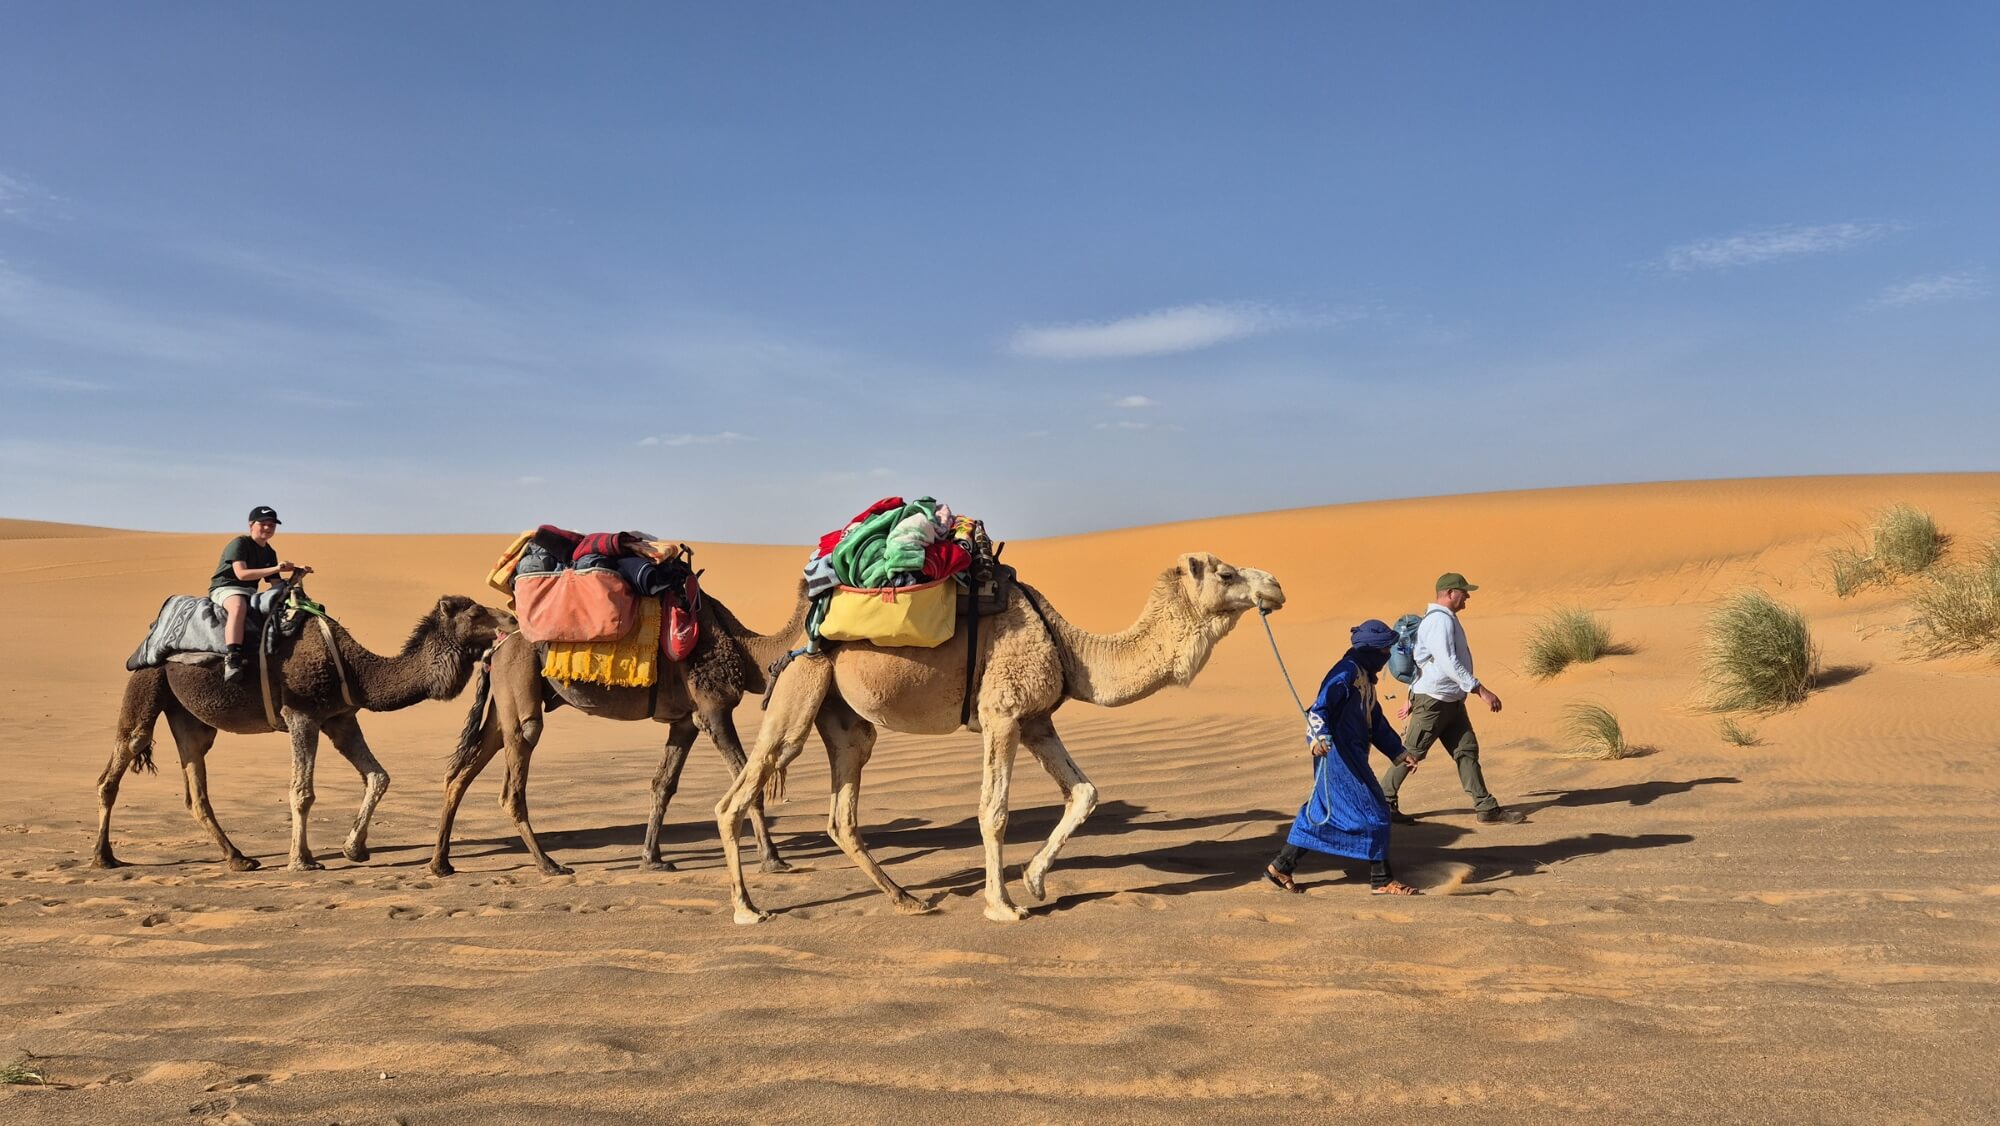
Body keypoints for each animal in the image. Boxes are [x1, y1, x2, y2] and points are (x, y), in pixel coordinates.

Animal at [95, 594, 515, 872]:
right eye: (476, 611)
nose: (512, 618)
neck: (355, 670)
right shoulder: (301, 715)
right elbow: (302, 792)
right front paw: (302, 860)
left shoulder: (340, 719)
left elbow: (378, 776)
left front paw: (354, 849)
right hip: (147, 679)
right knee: (122, 757)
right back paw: (104, 856)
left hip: (189, 717)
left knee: (196, 783)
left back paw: (239, 858)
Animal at [428, 585, 810, 878]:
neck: (747, 649)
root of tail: (498, 646)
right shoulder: (714, 709)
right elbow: (748, 780)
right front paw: (774, 860)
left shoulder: (685, 721)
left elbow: (663, 786)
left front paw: (652, 860)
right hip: (518, 681)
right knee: (516, 770)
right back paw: (549, 865)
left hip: (502, 701)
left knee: (462, 772)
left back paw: (440, 864)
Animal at [714, 552, 1285, 924]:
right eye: (1226, 573)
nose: (1276, 586)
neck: (1070, 648)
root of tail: (793, 631)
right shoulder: (1002, 714)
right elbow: (994, 810)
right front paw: (1003, 905)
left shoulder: (1037, 721)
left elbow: (1086, 792)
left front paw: (1035, 881)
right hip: (800, 686)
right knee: (737, 796)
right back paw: (748, 909)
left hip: (845, 718)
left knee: (842, 812)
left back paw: (906, 900)